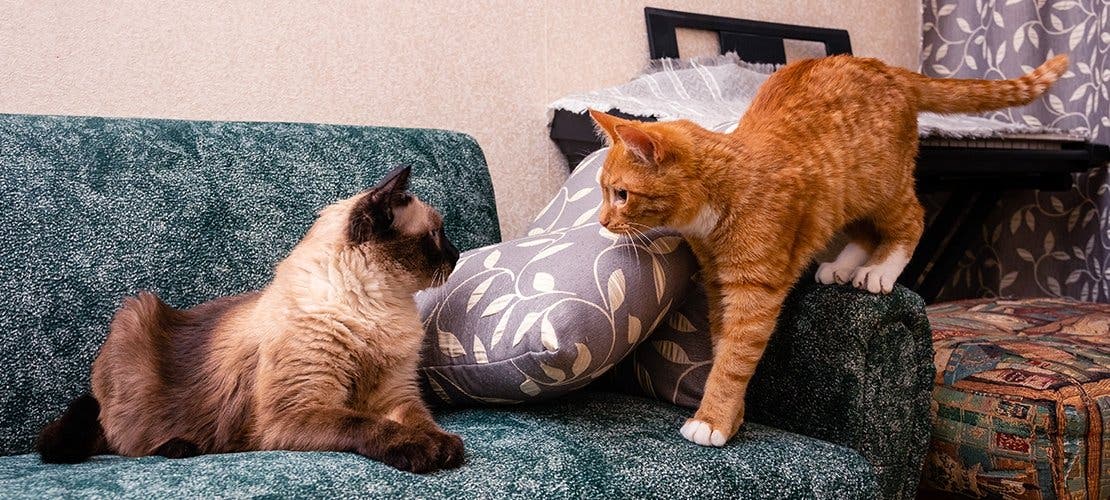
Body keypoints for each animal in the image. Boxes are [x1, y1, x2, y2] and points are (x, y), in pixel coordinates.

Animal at [590, 53, 1065, 444]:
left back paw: (879, 272)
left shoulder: (754, 290)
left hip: (881, 184)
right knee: (864, 233)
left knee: (910, 219)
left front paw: (713, 420)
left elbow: (735, 359)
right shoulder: (718, 286)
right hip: (843, 198)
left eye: (621, 195)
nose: (602, 222)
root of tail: (885, 66)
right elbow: (724, 348)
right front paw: (732, 414)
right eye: (604, 193)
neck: (724, 192)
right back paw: (841, 267)